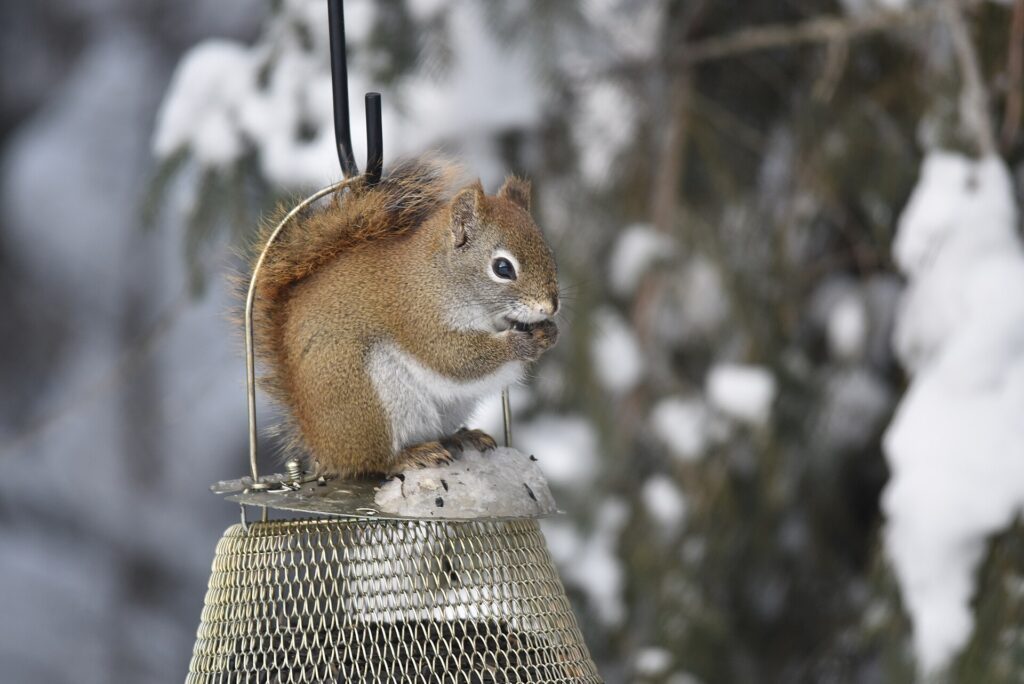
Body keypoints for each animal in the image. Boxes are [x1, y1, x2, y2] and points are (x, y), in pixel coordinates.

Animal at [251, 157, 560, 478]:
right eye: (503, 268)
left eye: (549, 253)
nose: (550, 307)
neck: (442, 276)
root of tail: (325, 450)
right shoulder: (416, 315)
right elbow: (455, 358)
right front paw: (519, 344)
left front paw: (548, 332)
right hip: (366, 400)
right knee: (374, 460)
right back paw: (409, 456)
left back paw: (462, 437)